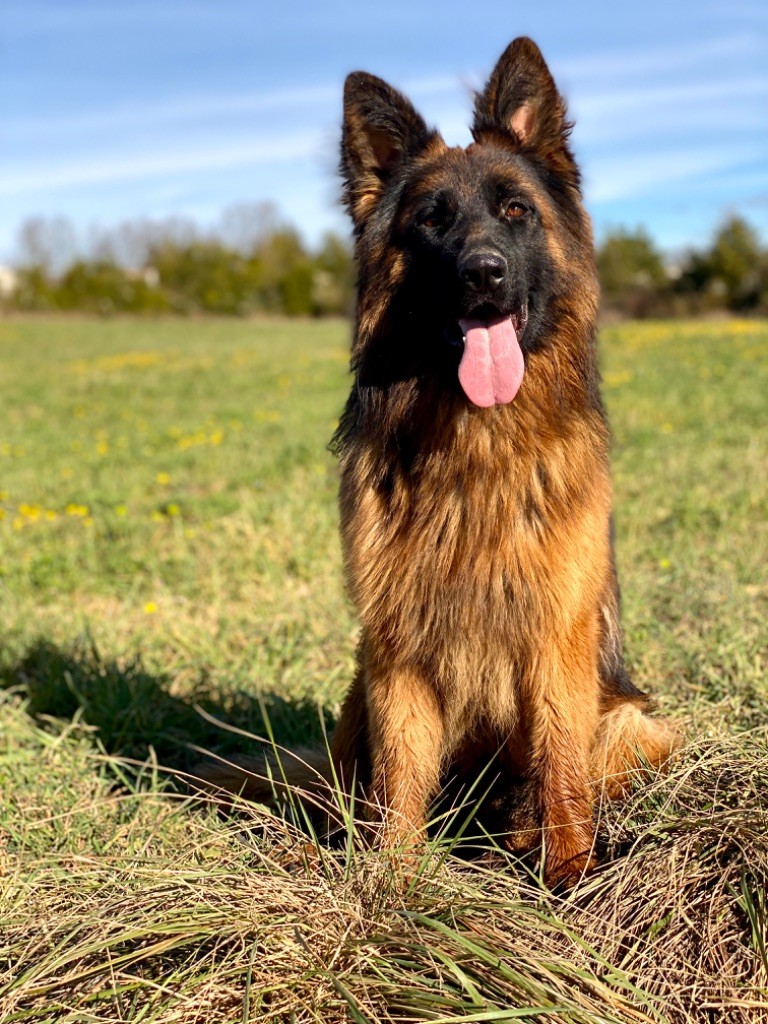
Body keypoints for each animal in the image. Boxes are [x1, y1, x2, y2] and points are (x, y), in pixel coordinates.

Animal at [205, 37, 679, 888]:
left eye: (516, 210)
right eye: (432, 220)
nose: (484, 272)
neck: (473, 448)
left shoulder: (556, 641)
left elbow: (562, 766)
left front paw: (569, 877)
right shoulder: (395, 649)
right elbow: (398, 781)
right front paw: (389, 884)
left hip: (629, 719)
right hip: (358, 689)